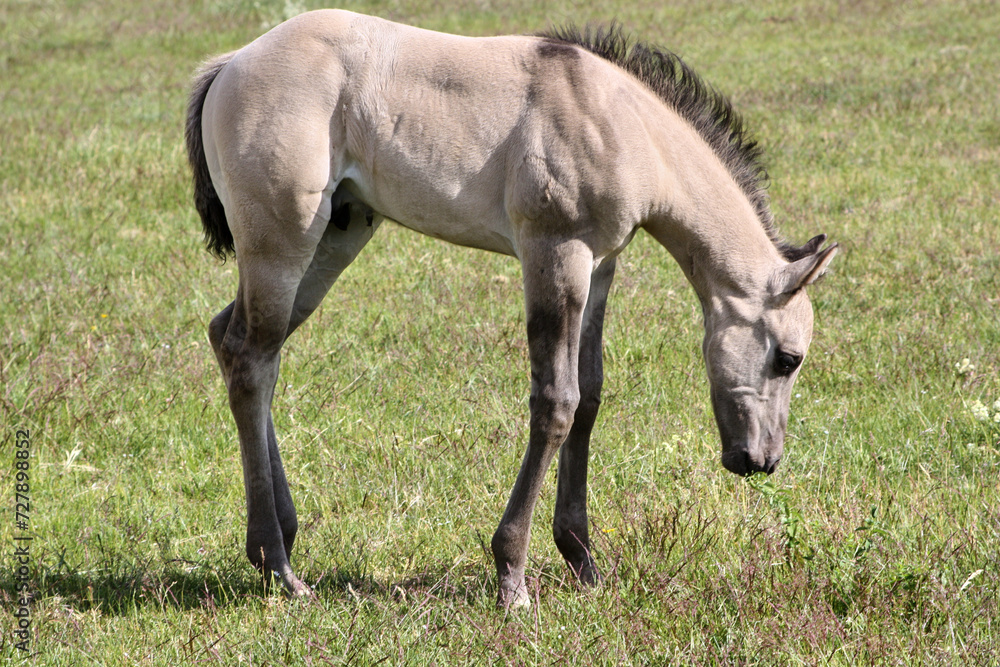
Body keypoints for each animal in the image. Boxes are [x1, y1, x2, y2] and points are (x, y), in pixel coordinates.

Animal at [186, 10, 836, 608]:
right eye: (787, 359)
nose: (763, 460)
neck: (621, 125)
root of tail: (232, 63)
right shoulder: (555, 252)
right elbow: (555, 403)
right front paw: (513, 578)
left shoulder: (599, 266)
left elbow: (589, 396)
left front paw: (583, 562)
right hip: (283, 242)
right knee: (252, 360)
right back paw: (278, 566)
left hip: (336, 237)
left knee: (239, 344)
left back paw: (281, 542)